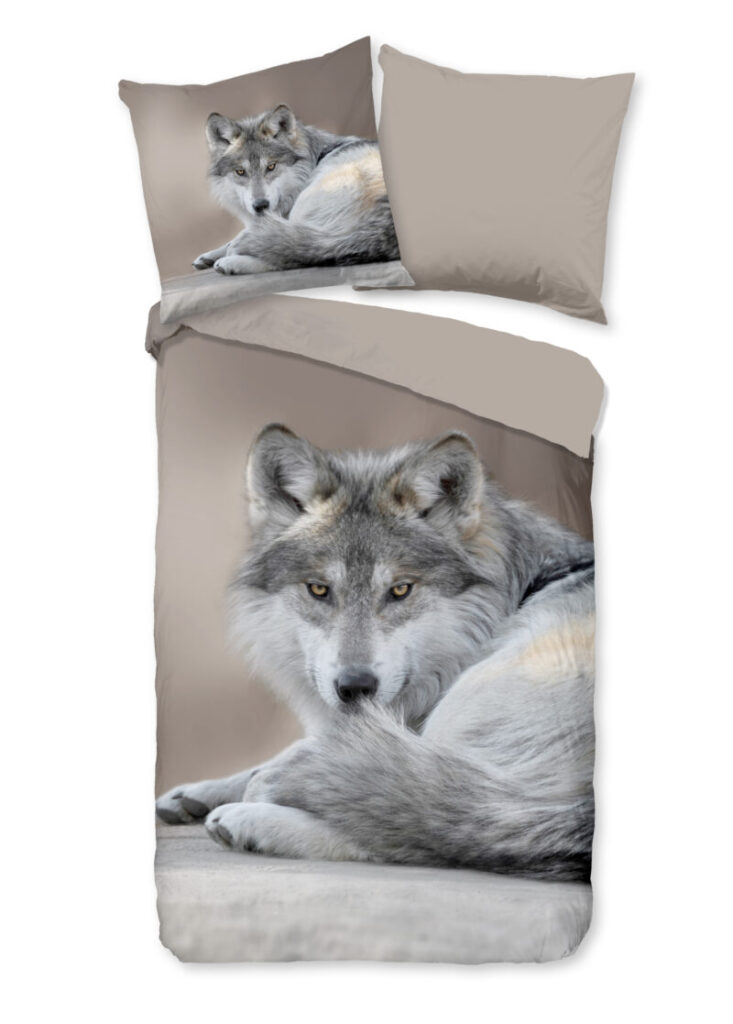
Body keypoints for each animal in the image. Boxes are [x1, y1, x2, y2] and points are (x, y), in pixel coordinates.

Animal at [156, 426, 596, 882]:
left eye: (400, 589)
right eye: (319, 589)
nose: (355, 686)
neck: (521, 590)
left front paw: (261, 786)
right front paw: (197, 792)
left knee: (430, 828)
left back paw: (251, 820)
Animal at [192, 105, 399, 275]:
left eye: (271, 166)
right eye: (240, 172)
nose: (260, 205)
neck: (314, 158)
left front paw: (228, 251)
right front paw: (208, 255)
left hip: (308, 203)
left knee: (295, 256)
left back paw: (231, 263)